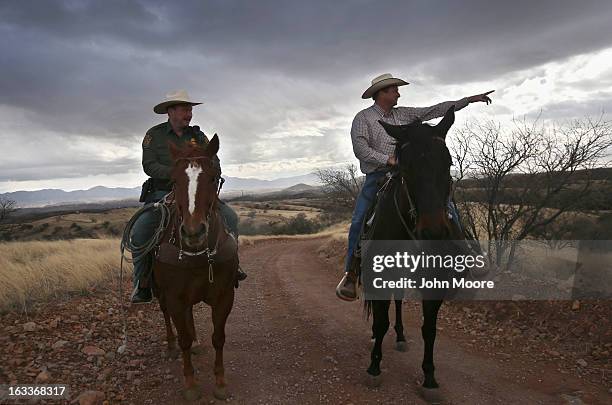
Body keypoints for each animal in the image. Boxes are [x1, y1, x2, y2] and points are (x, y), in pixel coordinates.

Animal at [152, 134, 238, 400]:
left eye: (212, 177)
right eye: (173, 180)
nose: (193, 232)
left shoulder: (224, 296)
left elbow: (218, 337)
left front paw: (220, 382)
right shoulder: (174, 297)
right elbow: (184, 341)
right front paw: (190, 384)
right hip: (162, 293)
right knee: (167, 316)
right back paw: (170, 345)